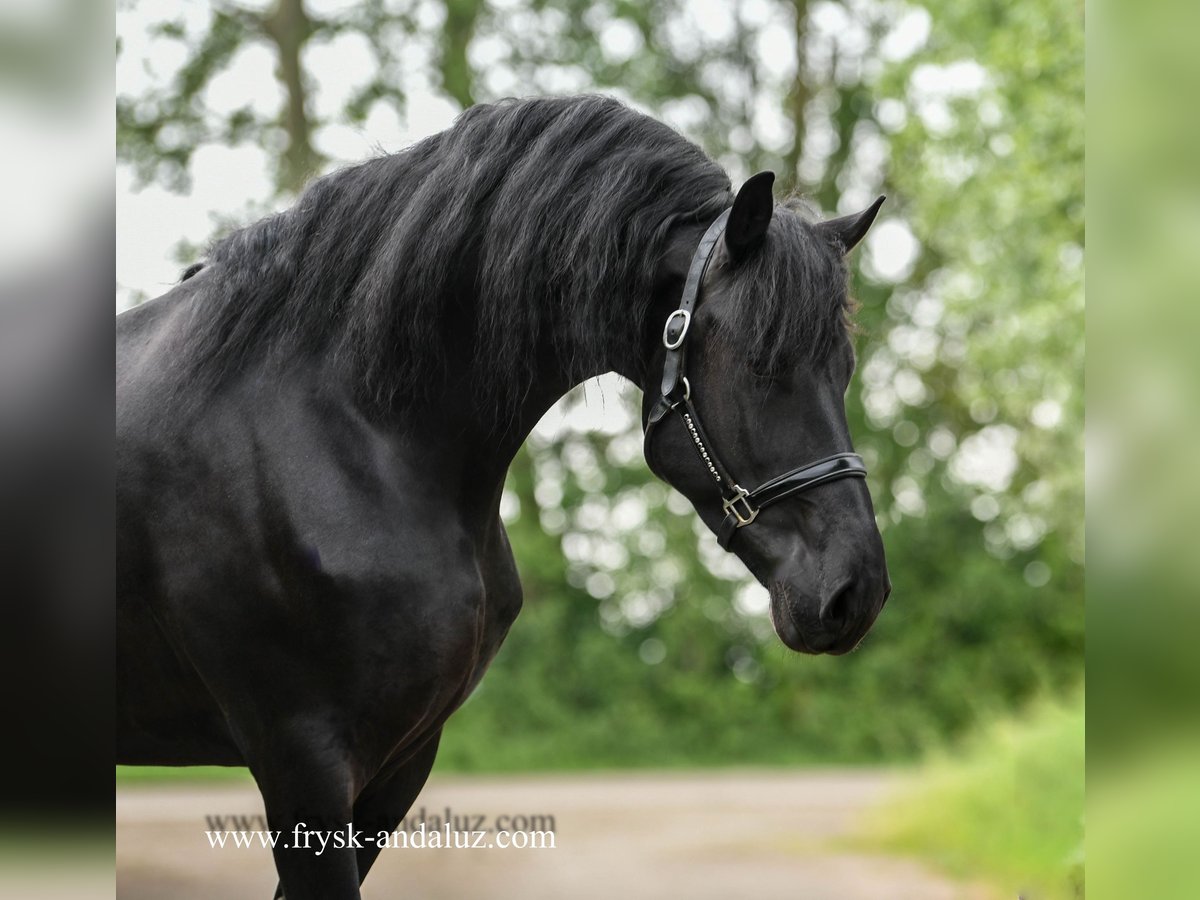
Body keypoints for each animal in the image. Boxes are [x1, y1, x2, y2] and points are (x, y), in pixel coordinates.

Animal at [119, 95, 892, 897]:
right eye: (763, 362)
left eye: (844, 367)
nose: (855, 592)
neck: (341, 428)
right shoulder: (301, 759)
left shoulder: (400, 761)